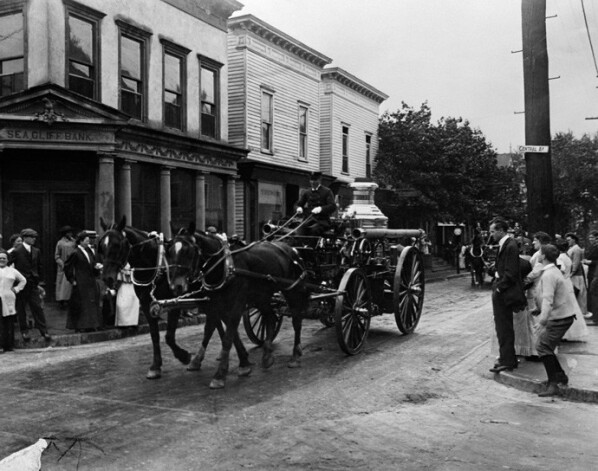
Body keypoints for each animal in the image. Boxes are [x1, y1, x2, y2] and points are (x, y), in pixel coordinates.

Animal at [98, 218, 191, 380]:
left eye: (117, 244)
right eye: (102, 246)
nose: (107, 278)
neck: (157, 265)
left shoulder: (174, 302)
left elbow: (169, 336)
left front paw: (183, 356)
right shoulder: (148, 304)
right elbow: (154, 335)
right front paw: (155, 366)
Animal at [168, 225, 310, 390]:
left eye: (188, 251)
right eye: (170, 251)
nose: (176, 286)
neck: (224, 266)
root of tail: (293, 250)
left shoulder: (236, 304)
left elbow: (228, 337)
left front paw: (220, 374)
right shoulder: (215, 304)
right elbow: (210, 331)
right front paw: (198, 360)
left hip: (292, 291)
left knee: (296, 320)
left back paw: (295, 355)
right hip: (261, 297)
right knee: (270, 317)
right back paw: (267, 355)